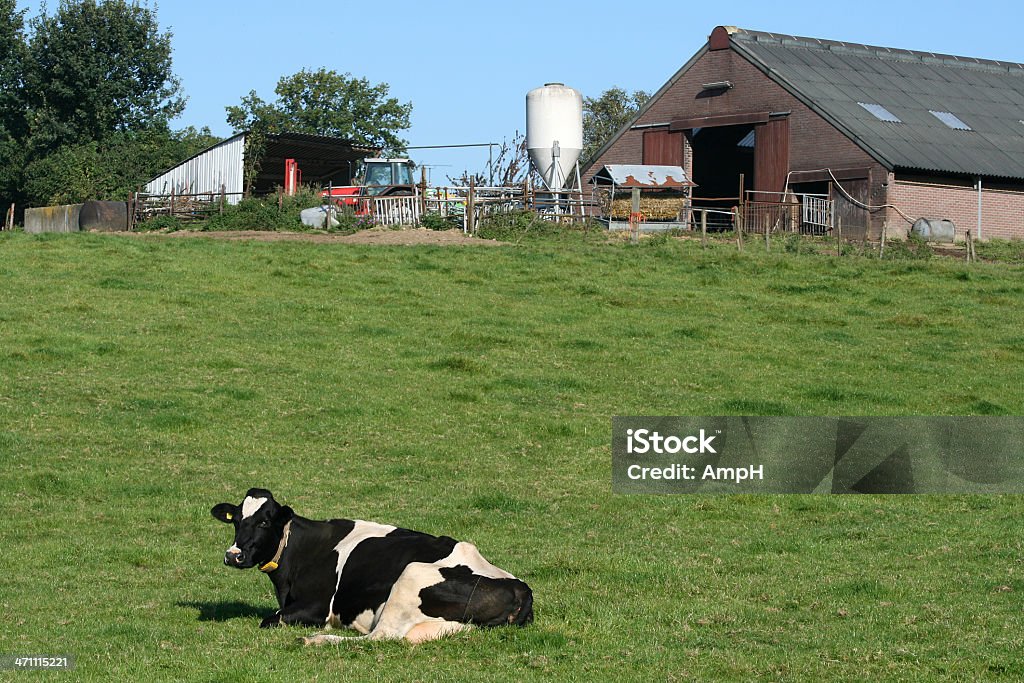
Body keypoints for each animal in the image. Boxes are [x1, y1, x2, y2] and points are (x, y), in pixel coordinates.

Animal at [208, 489, 536, 643]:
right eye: (237, 521)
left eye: (264, 522)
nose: (233, 555)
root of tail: (520, 587)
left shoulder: (316, 607)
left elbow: (269, 620)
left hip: (410, 575)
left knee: (380, 638)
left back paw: (314, 640)